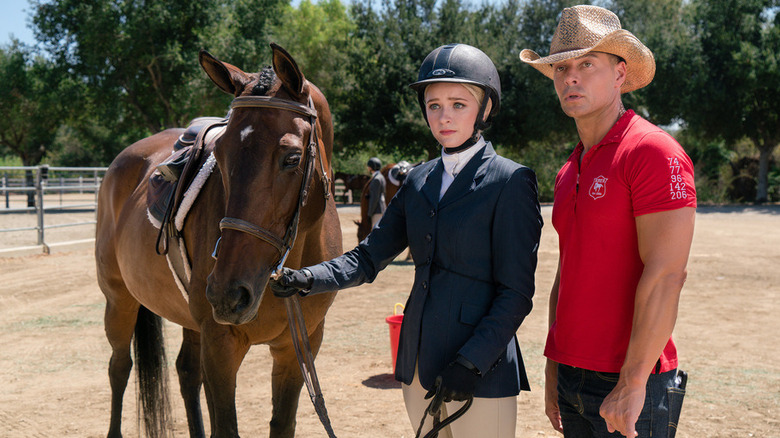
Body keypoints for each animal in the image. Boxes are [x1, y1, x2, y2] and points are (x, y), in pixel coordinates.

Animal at [94, 43, 342, 438]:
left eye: (292, 158)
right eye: (221, 155)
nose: (227, 293)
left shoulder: (297, 348)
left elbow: (282, 423)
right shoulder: (220, 346)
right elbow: (225, 426)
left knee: (185, 372)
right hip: (119, 301)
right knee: (119, 368)